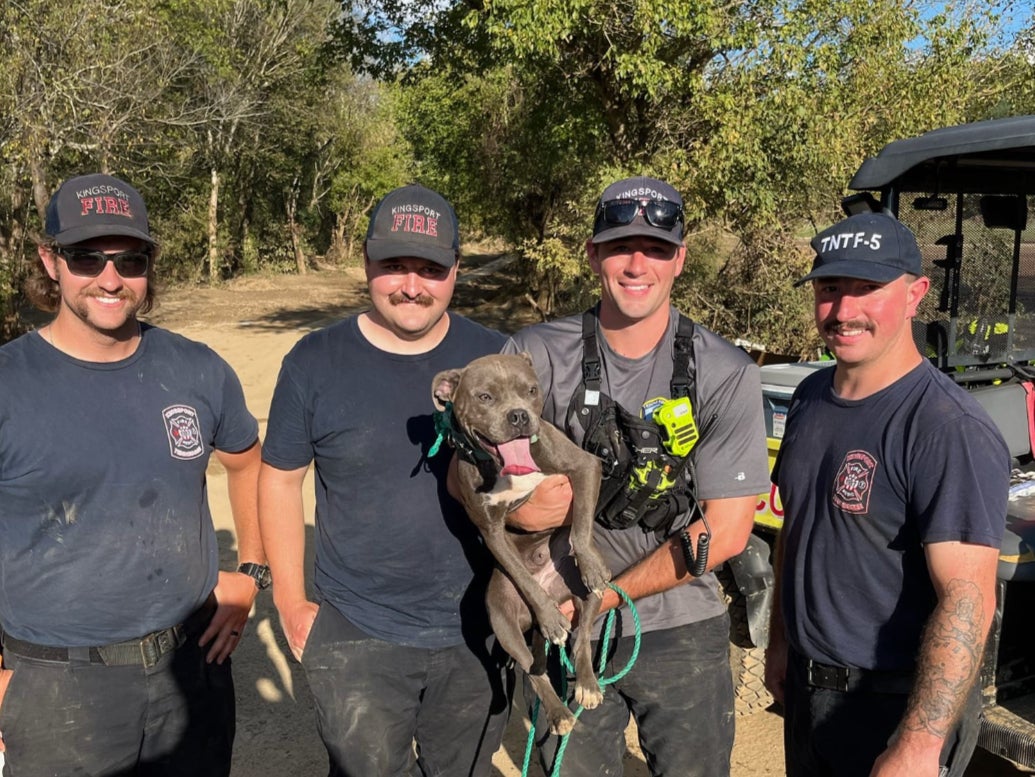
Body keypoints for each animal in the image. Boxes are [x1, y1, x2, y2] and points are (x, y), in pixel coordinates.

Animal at [430, 353, 608, 736]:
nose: (519, 416)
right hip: (502, 619)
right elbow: (523, 576)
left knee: (583, 636)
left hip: (587, 594)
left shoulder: (584, 466)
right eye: (485, 397)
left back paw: (587, 685)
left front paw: (590, 561)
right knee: (533, 669)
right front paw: (550, 617)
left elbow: (580, 528)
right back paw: (559, 713)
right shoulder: (491, 528)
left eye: (531, 390)